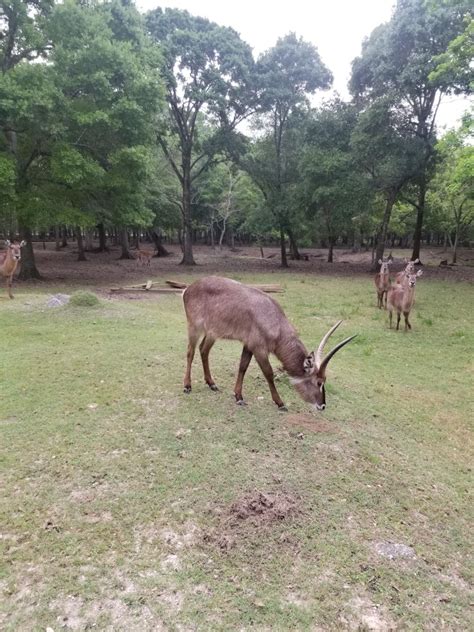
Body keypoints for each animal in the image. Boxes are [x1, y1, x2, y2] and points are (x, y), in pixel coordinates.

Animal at [181, 276, 356, 410]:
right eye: (319, 382)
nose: (322, 406)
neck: (274, 319)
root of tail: (189, 288)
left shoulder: (249, 345)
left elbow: (242, 367)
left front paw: (238, 396)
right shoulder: (259, 348)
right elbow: (268, 373)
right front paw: (280, 403)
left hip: (212, 332)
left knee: (203, 350)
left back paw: (212, 384)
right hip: (194, 327)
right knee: (190, 351)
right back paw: (187, 386)